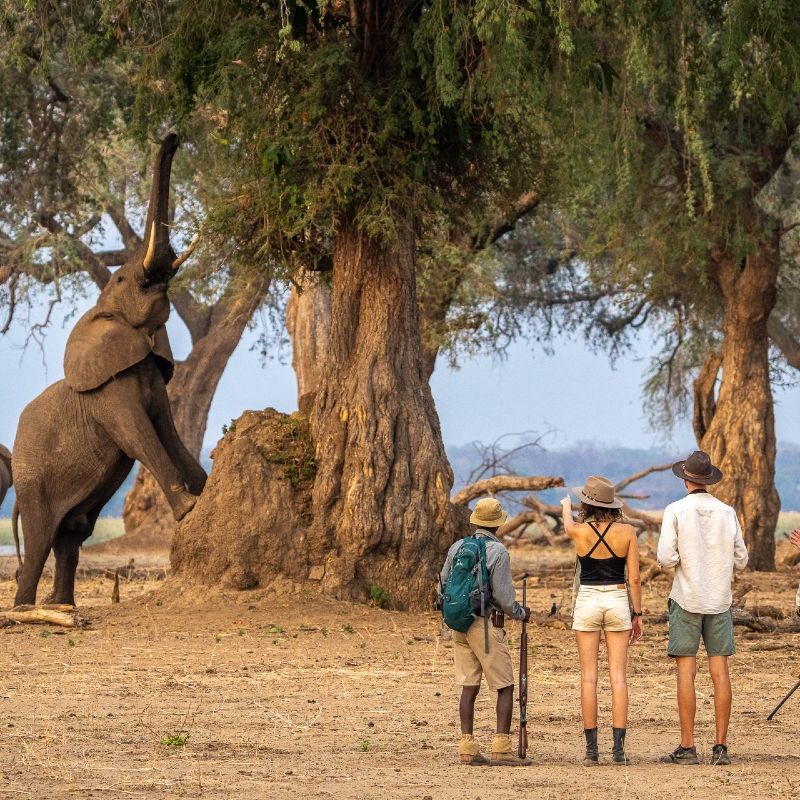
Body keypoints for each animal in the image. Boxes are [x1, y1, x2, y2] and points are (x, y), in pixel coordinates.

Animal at [11, 134, 207, 607]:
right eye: (119, 280)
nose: (172, 136)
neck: (99, 312)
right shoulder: (108, 393)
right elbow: (140, 435)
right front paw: (192, 509)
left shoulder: (152, 374)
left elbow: (167, 429)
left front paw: (206, 489)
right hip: (32, 485)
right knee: (40, 542)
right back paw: (29, 609)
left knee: (70, 538)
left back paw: (62, 607)